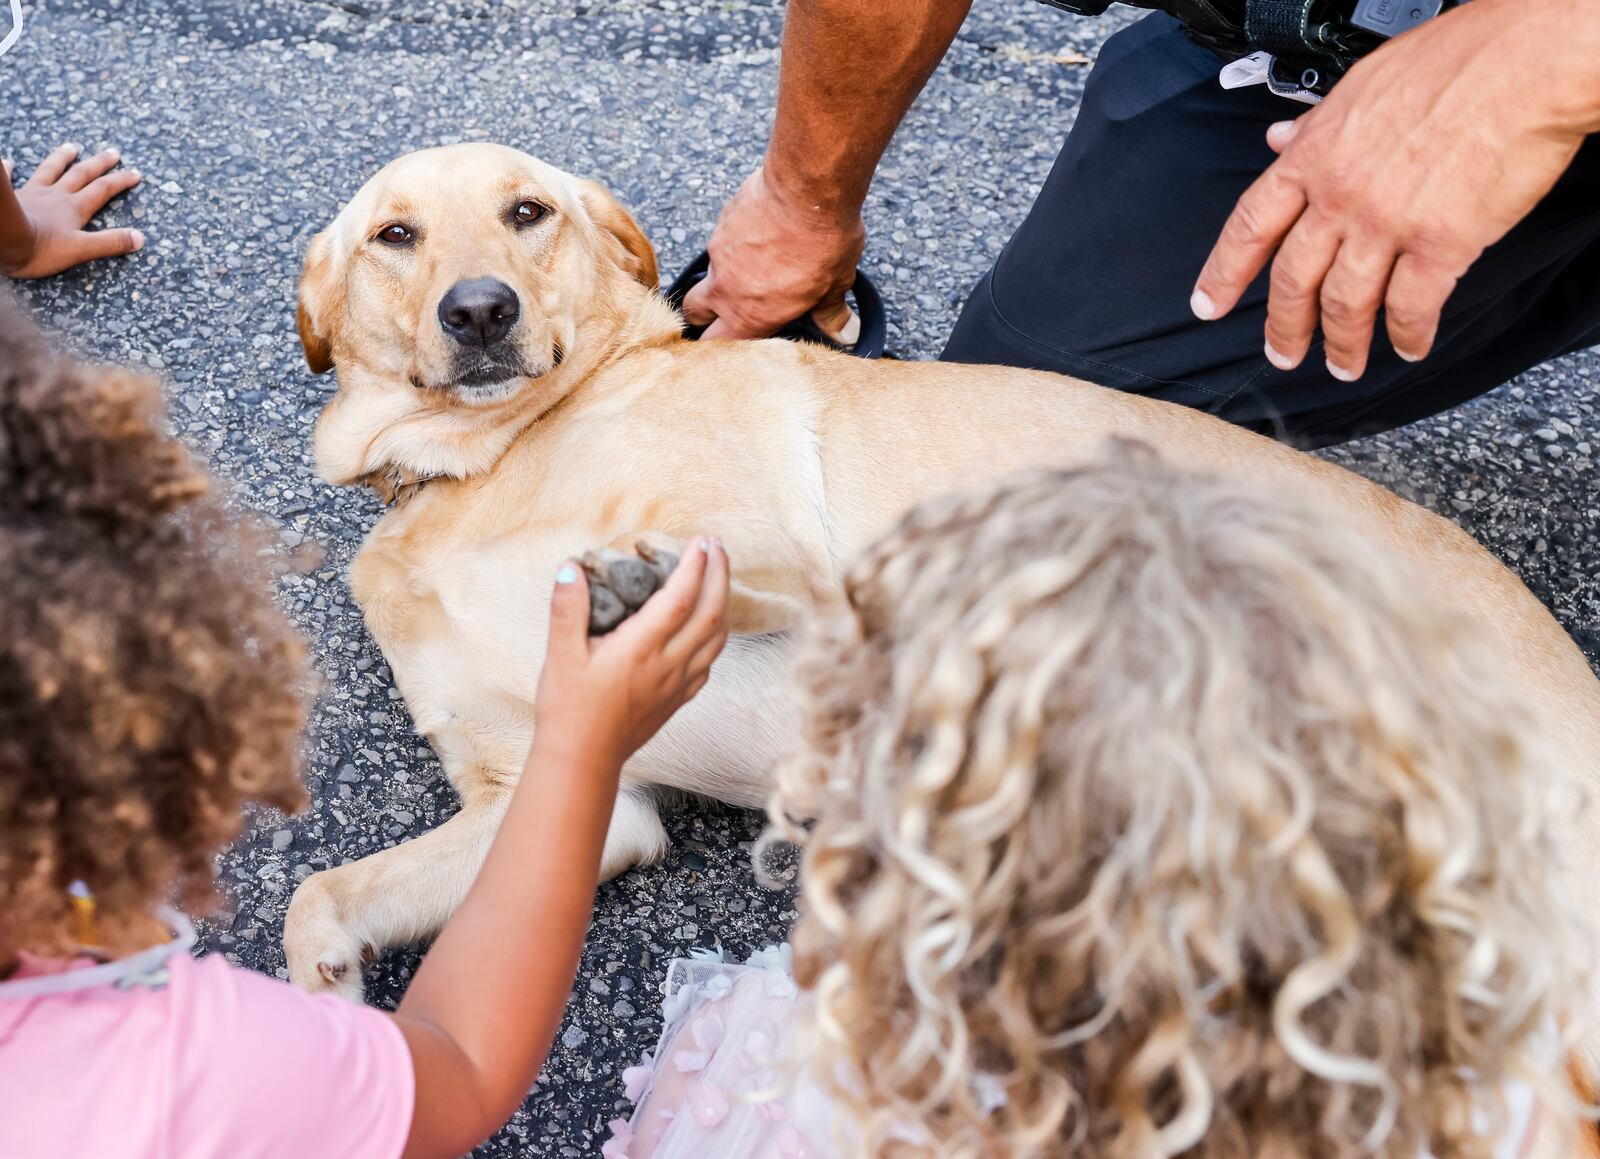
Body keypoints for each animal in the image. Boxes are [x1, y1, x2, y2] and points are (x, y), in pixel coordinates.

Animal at [284, 144, 1600, 1088]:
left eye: (527, 213)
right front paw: (328, 1013)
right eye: (395, 234)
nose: (480, 311)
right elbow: (318, 899)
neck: (483, 463)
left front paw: (641, 584)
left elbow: (726, 567)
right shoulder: (567, 801)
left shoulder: (803, 570)